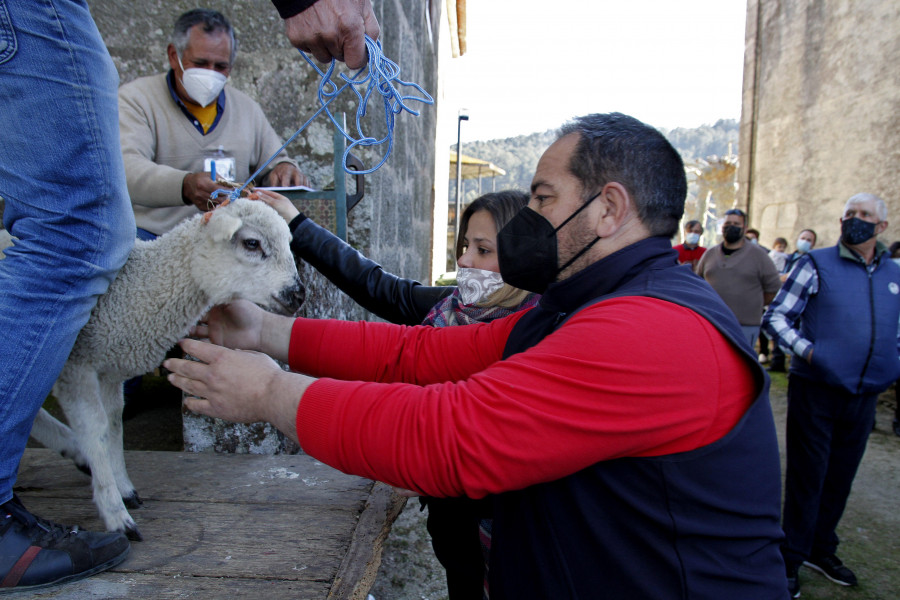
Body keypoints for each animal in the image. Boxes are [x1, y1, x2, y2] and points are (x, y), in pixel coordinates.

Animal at [17, 199, 304, 540]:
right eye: (251, 243)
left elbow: (113, 424)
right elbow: (96, 429)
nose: (299, 295)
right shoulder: (77, 363)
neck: (127, 291)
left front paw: (123, 486)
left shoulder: (108, 369)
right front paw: (115, 511)